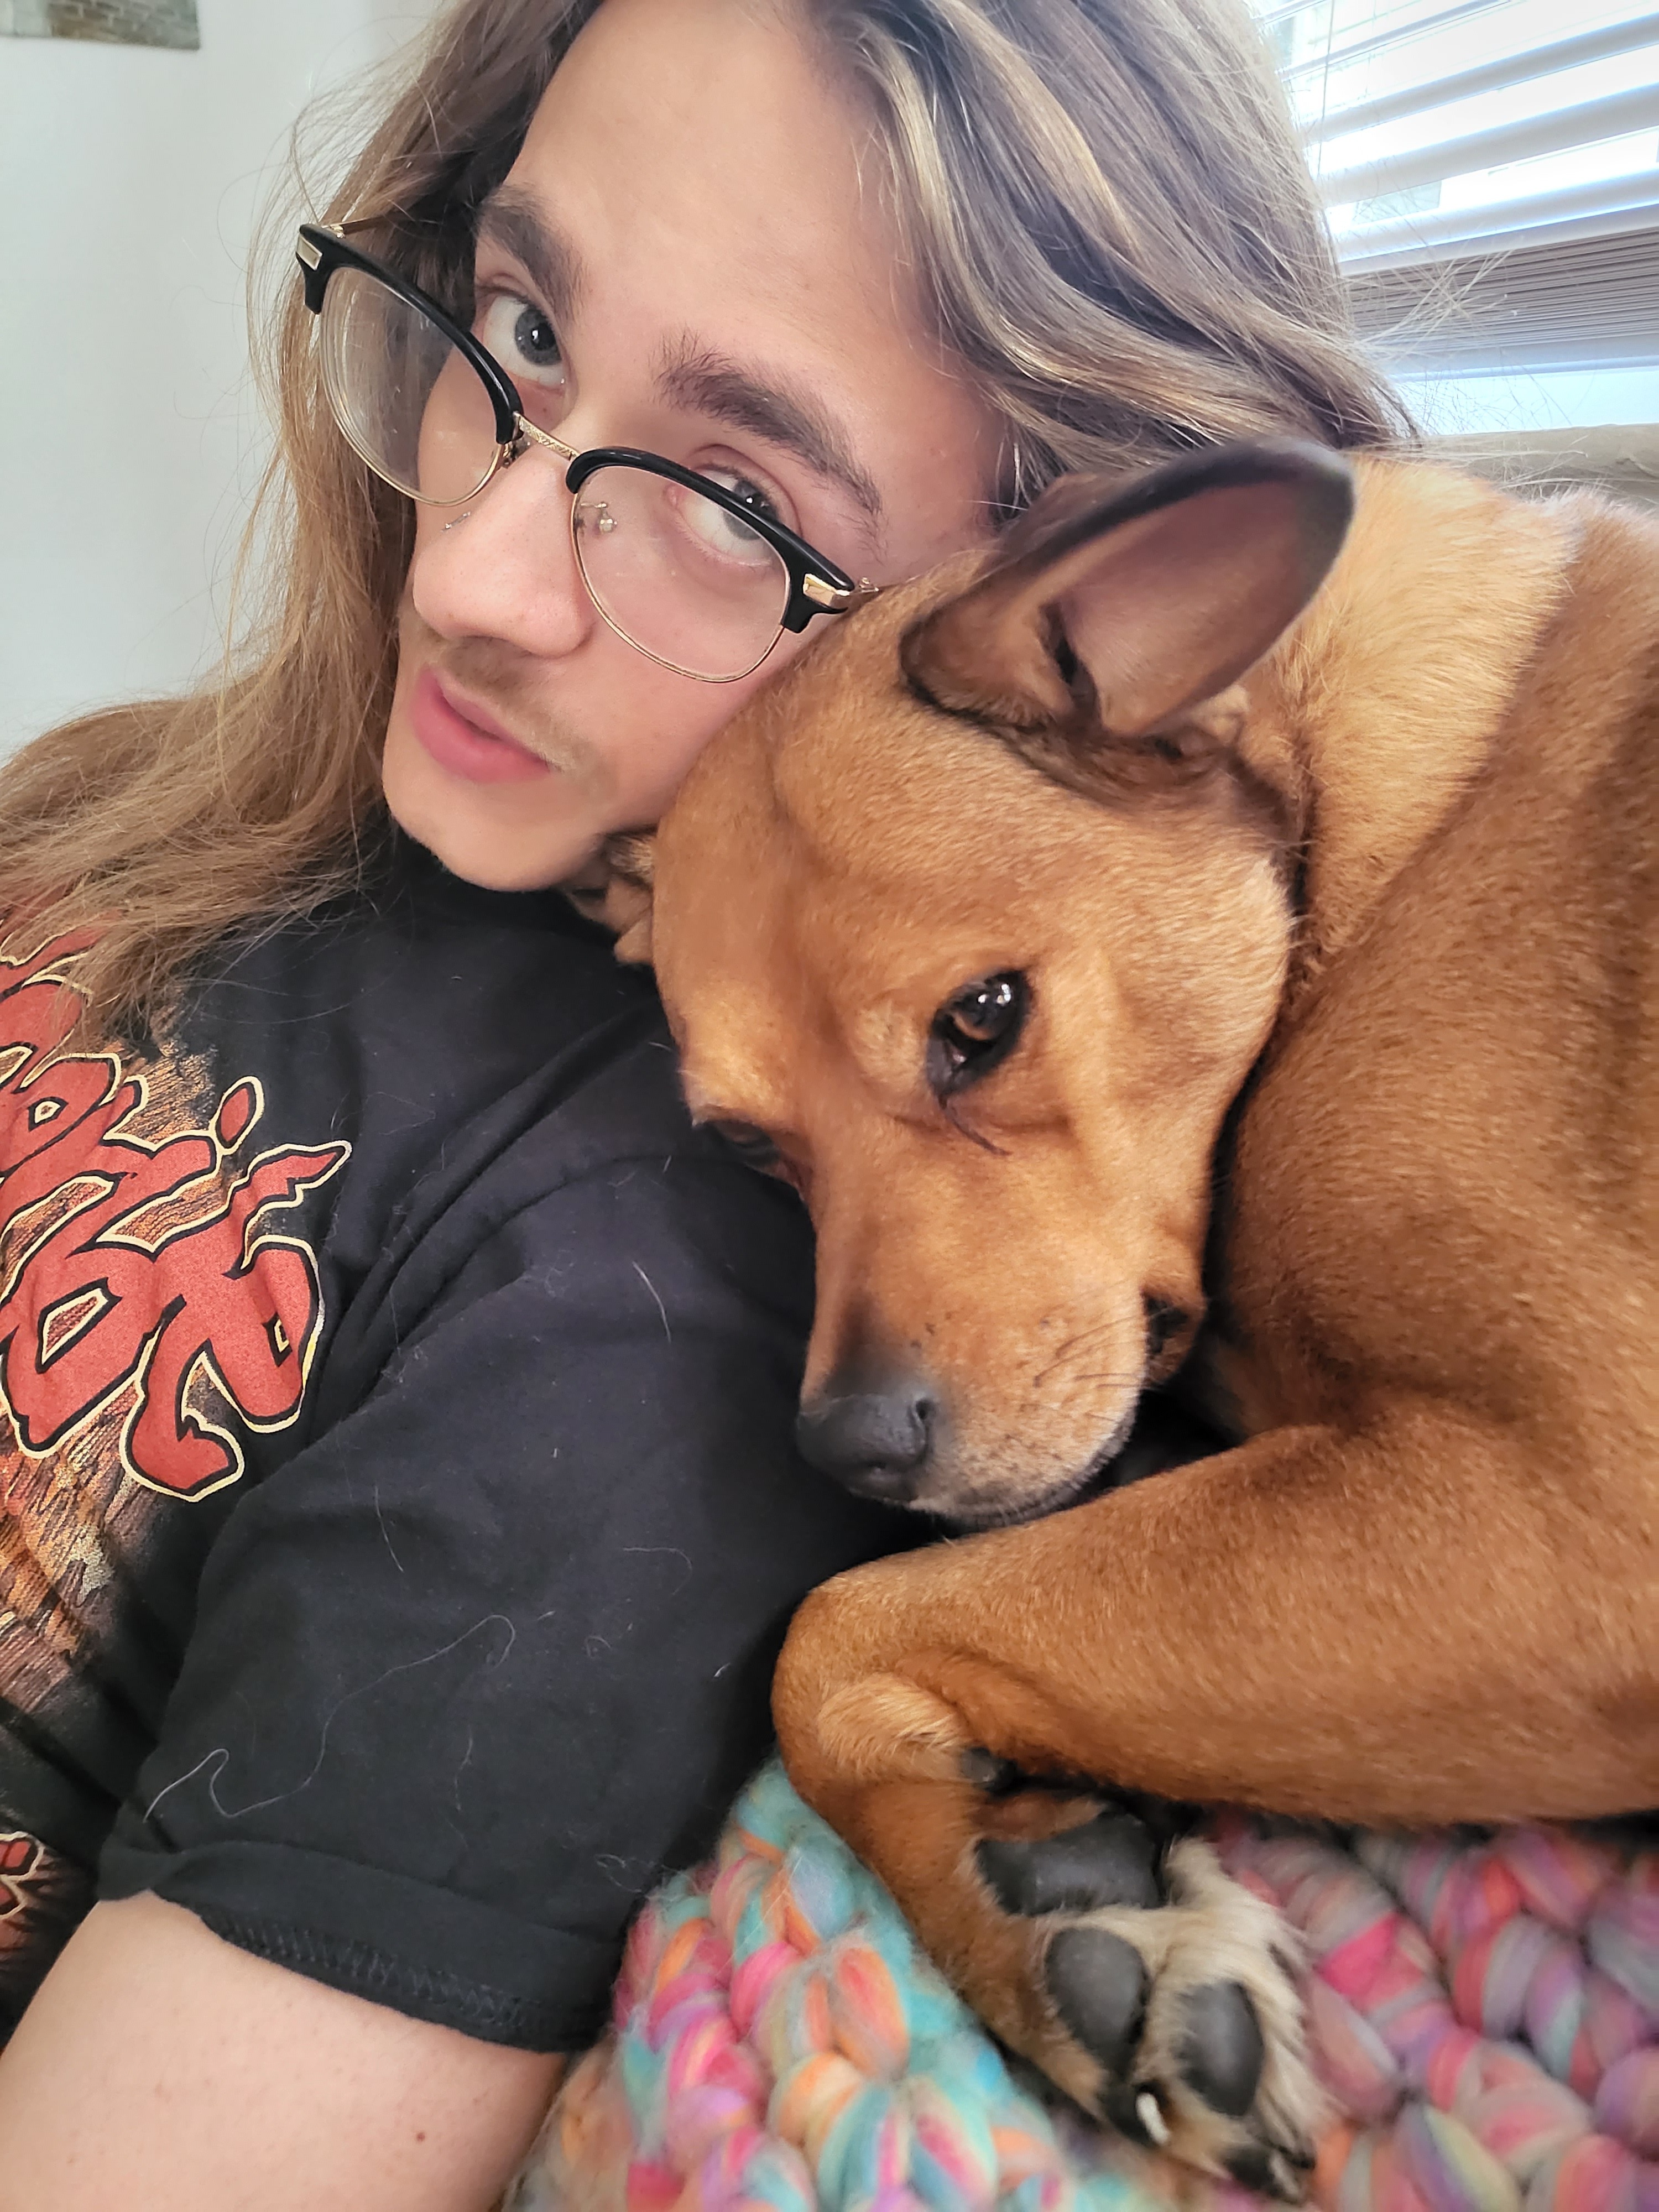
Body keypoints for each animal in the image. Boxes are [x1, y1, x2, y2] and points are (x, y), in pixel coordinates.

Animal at [609, 441, 1659, 2196]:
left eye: (982, 1021)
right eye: (754, 1152)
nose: (851, 1451)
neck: (1371, 844)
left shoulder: (1569, 1524)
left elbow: (826, 1634)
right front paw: (1010, 1895)